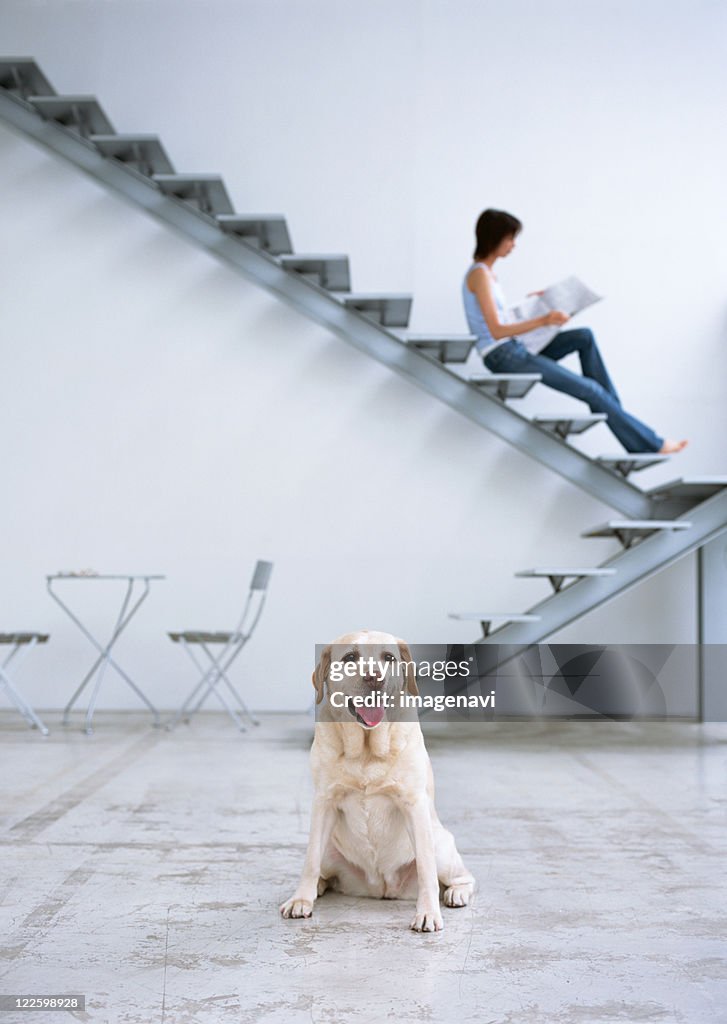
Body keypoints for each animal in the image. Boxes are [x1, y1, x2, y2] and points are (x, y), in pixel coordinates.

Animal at [278, 626, 473, 933]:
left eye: (389, 658)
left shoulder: (414, 805)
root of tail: (381, 888)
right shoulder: (324, 802)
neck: (366, 750)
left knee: (462, 877)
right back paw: (317, 887)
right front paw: (301, 899)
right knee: (321, 866)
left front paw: (428, 912)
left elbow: (426, 868)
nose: (374, 677)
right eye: (350, 657)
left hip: (441, 845)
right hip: (331, 850)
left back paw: (457, 892)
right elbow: (309, 861)